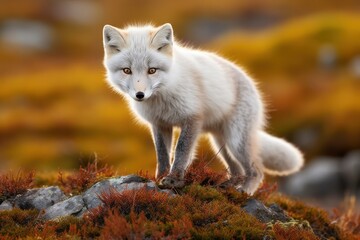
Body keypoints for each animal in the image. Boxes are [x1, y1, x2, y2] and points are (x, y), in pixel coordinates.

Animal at [102, 23, 304, 195]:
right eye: (127, 70)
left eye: (152, 70)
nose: (140, 95)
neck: (164, 94)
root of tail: (250, 83)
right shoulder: (160, 124)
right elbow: (162, 154)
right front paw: (160, 177)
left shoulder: (192, 119)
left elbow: (181, 152)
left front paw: (174, 180)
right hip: (221, 143)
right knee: (237, 171)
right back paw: (227, 186)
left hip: (235, 141)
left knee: (256, 171)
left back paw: (244, 192)